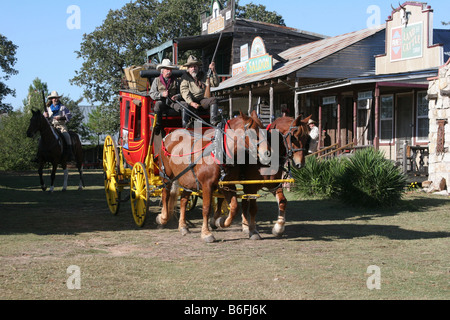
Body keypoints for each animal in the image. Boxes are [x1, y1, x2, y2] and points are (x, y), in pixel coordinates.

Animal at [157, 110, 270, 242]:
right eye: (252, 133)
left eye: (264, 130)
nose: (267, 153)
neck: (218, 153)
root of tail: (170, 134)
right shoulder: (207, 185)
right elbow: (206, 208)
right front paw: (206, 233)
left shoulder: (227, 185)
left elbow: (234, 207)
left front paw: (220, 221)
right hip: (167, 176)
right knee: (165, 194)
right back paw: (163, 218)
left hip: (189, 181)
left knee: (184, 200)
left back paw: (183, 226)